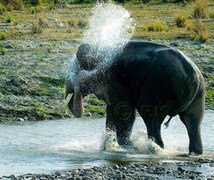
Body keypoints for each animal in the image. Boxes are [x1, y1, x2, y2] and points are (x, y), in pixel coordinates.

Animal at [65, 40, 206, 155]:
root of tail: (193, 78)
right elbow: (112, 110)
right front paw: (108, 147)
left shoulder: (113, 79)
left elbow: (124, 110)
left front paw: (125, 146)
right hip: (198, 95)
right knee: (193, 121)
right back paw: (193, 153)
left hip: (159, 87)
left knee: (151, 119)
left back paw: (154, 149)